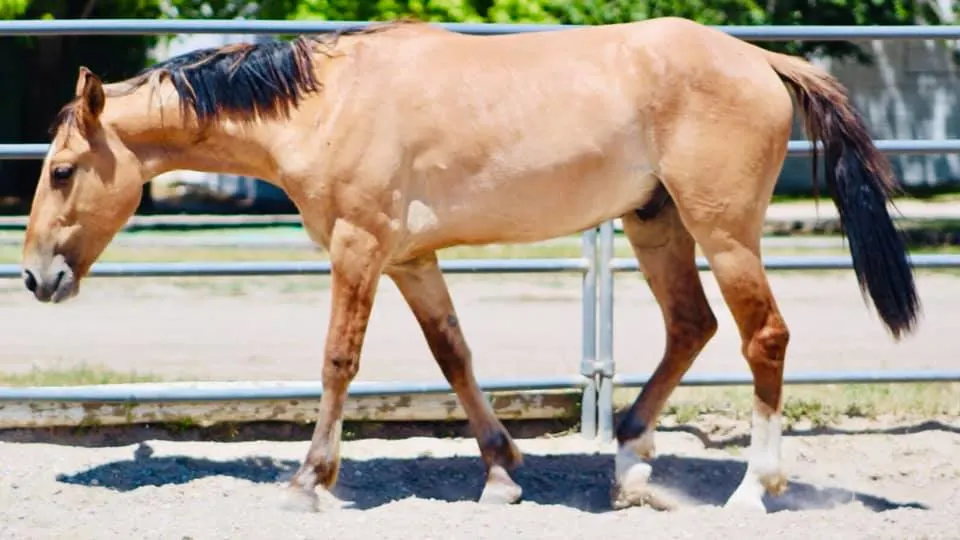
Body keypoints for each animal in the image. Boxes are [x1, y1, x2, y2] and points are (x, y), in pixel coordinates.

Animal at [20, 19, 924, 512]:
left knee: (762, 335)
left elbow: (338, 361)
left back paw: (750, 491)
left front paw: (310, 481)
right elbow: (454, 355)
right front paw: (501, 474)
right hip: (656, 225)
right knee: (690, 326)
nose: (33, 277)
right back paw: (630, 463)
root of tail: (760, 60)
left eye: (61, 171)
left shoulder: (359, 248)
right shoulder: (412, 260)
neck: (323, 107)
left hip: (725, 230)